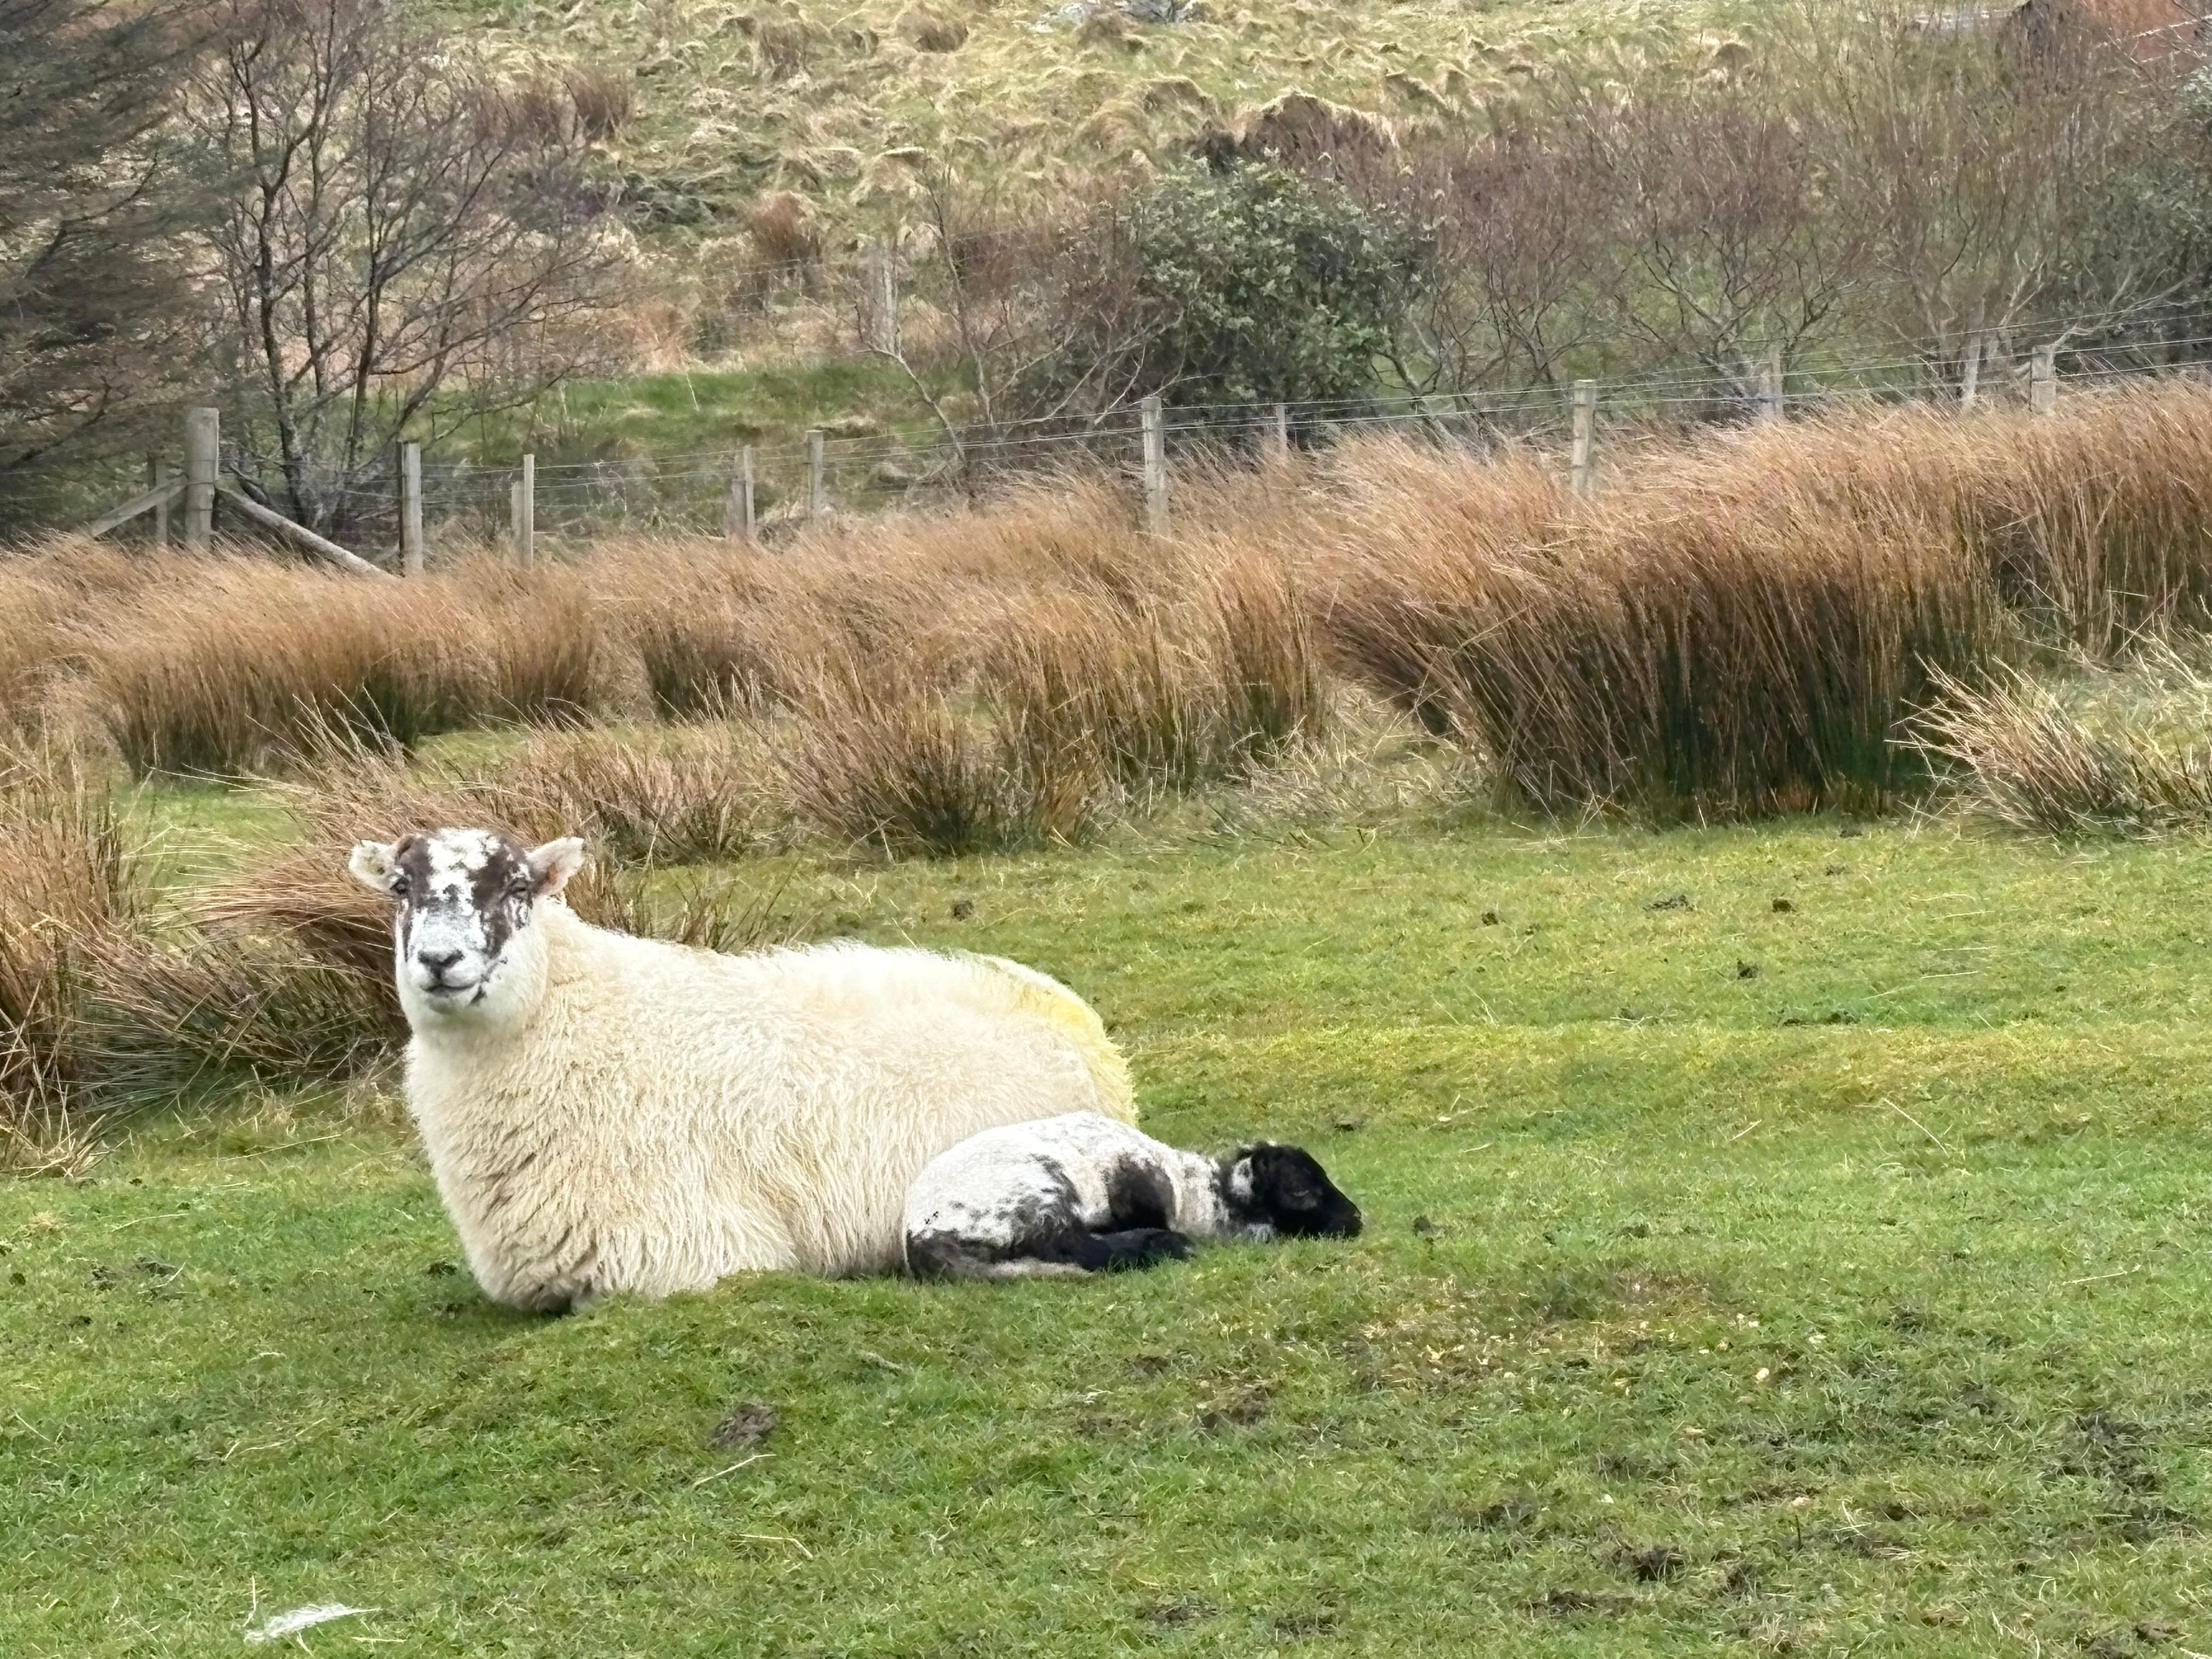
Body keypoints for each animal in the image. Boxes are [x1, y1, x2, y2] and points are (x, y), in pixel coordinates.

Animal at [345, 827, 1135, 1311]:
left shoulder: (693, 1254)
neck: (578, 1015)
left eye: (516, 888)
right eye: (400, 889)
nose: (439, 961)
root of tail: (1074, 1016)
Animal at [903, 1111, 1361, 1280]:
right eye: (1300, 1191)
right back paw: (1164, 1245)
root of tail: (918, 1238)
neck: (1193, 1194)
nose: (1356, 1220)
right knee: (1076, 1248)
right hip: (1038, 1192)